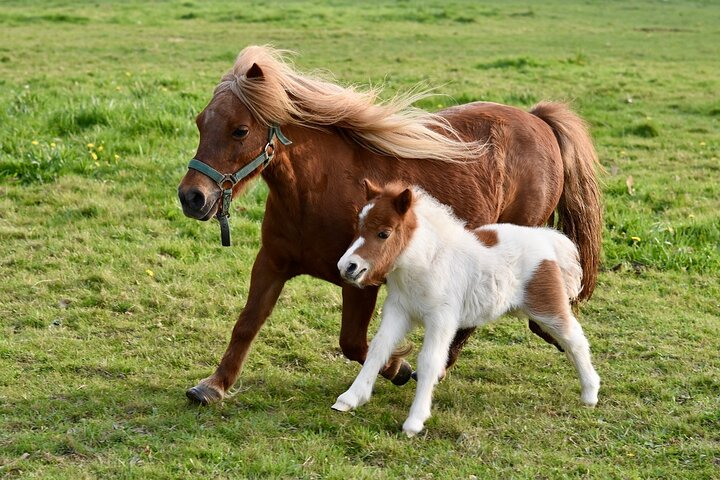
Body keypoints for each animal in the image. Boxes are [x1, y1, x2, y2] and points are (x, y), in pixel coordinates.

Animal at [177, 45, 602, 405]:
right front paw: (213, 385)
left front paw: (398, 367)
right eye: (200, 123)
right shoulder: (272, 263)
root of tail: (538, 120)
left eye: (240, 130)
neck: (317, 190)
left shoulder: (360, 279)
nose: (192, 197)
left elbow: (354, 343)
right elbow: (247, 323)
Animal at [333, 180, 601, 436]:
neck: (427, 262)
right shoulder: (399, 311)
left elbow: (429, 361)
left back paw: (590, 392)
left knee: (575, 339)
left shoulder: (442, 319)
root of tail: (545, 238)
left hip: (547, 307)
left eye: (384, 233)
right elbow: (378, 348)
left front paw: (414, 422)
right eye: (359, 227)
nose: (347, 266)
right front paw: (350, 398)